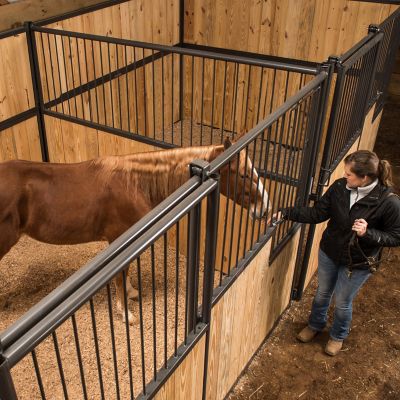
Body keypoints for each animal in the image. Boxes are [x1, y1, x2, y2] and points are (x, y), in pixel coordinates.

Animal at [0, 138, 270, 322]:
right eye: (244, 174)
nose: (265, 208)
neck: (135, 183)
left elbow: (126, 273)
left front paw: (130, 293)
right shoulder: (118, 239)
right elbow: (120, 274)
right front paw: (126, 313)